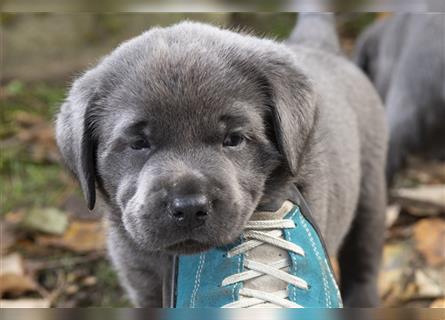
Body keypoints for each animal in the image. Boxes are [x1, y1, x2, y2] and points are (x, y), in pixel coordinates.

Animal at [55, 15, 386, 308]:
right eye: (138, 143)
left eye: (234, 139)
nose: (189, 207)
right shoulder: (141, 282)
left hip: (370, 193)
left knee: (364, 262)